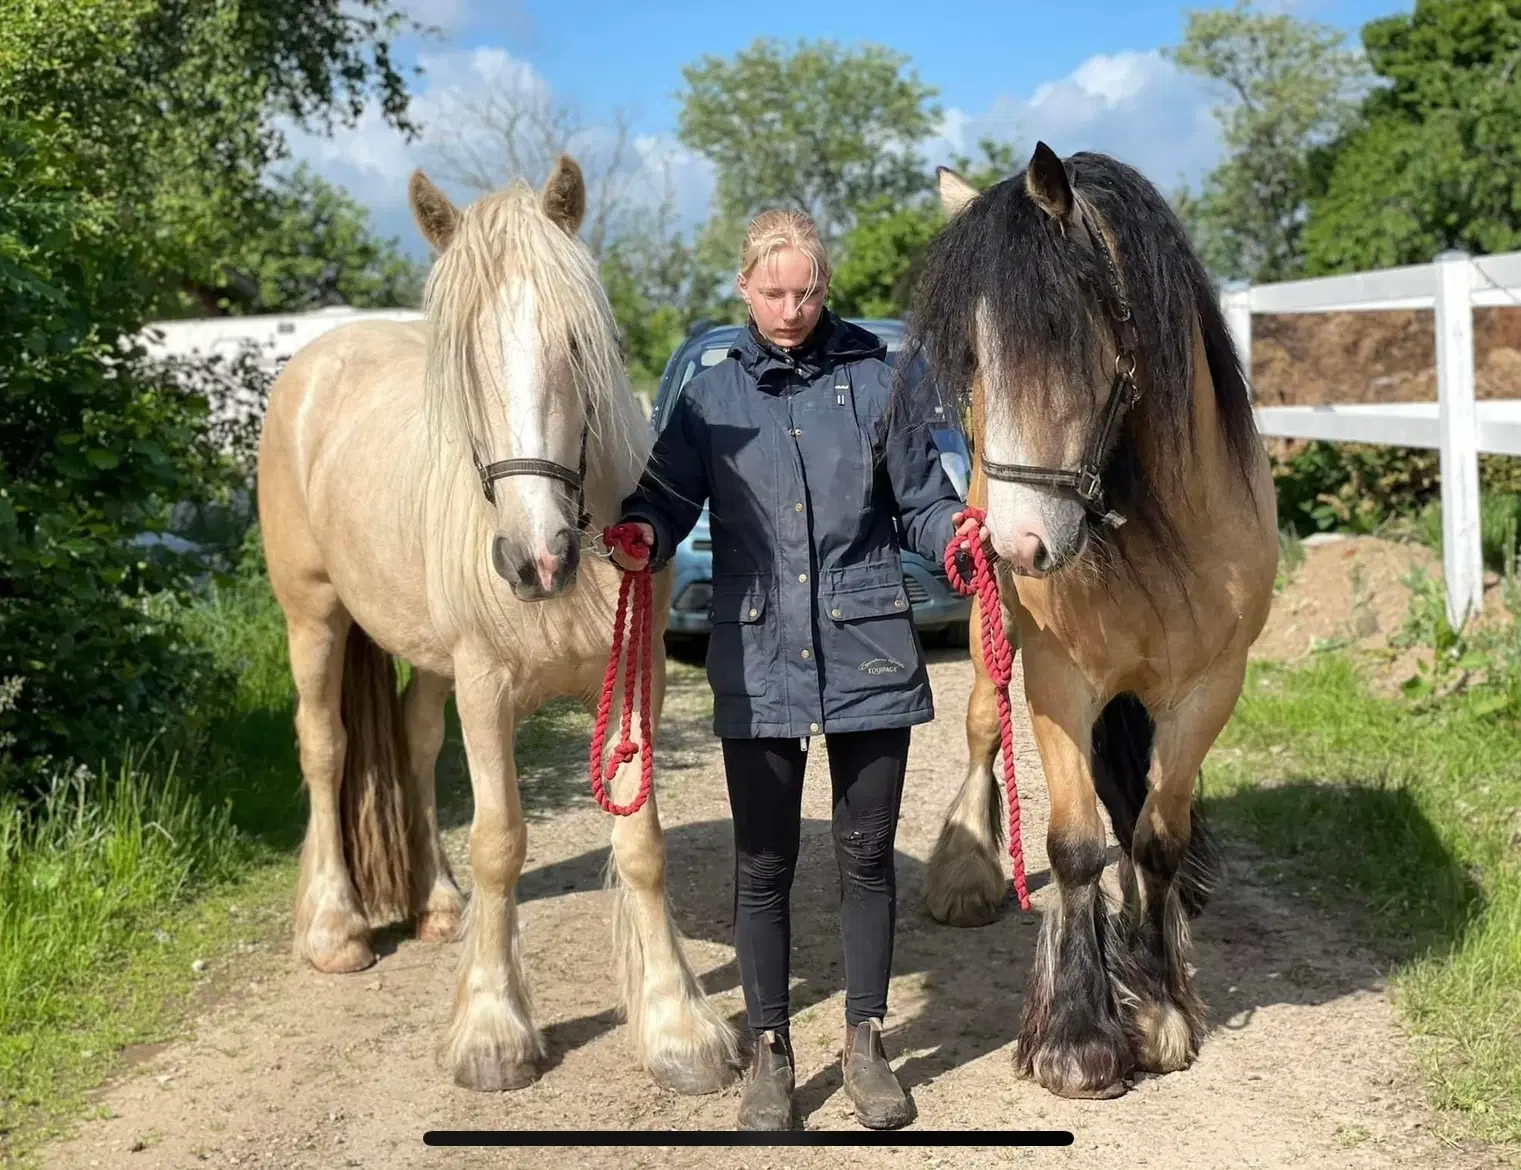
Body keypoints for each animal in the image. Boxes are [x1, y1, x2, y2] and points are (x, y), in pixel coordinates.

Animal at [257, 155, 742, 1095]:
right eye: (462, 367)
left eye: (576, 346)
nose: (534, 559)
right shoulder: (484, 686)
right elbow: (499, 842)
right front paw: (492, 1032)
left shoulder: (634, 680)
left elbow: (640, 845)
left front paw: (676, 1029)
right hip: (314, 617)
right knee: (324, 747)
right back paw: (336, 929)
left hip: (425, 656)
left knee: (412, 745)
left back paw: (437, 904)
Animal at [906, 143, 1277, 1095]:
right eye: (972, 359)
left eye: (1060, 337)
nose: (1016, 546)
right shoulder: (1058, 681)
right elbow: (1075, 846)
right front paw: (1078, 1035)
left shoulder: (1210, 688)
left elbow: (1154, 837)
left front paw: (1158, 1005)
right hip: (988, 633)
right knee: (979, 728)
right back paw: (963, 872)